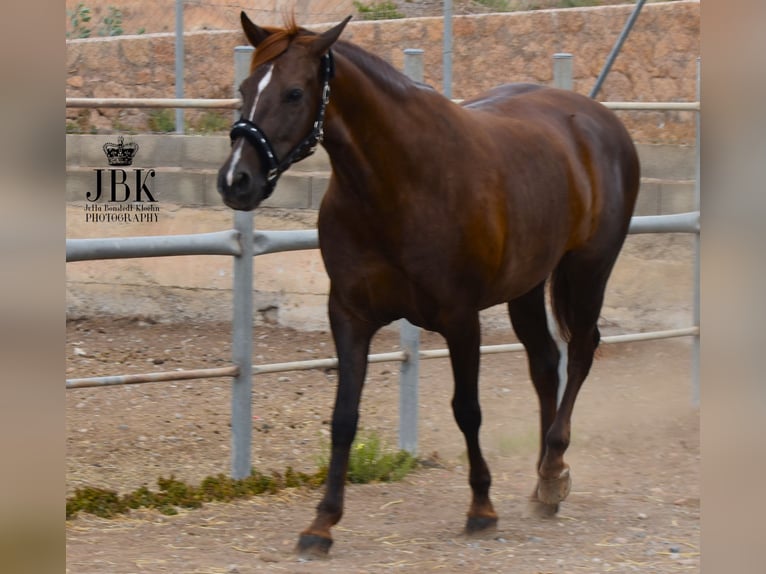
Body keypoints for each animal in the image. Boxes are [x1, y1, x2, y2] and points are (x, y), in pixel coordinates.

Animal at [218, 10, 640, 560]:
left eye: (293, 93)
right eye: (245, 87)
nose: (235, 181)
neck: (399, 182)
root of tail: (599, 119)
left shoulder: (461, 320)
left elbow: (468, 410)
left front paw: (481, 509)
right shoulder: (349, 316)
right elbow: (343, 417)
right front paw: (322, 523)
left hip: (588, 271)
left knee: (582, 352)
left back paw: (553, 471)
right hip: (527, 285)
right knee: (546, 364)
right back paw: (542, 483)